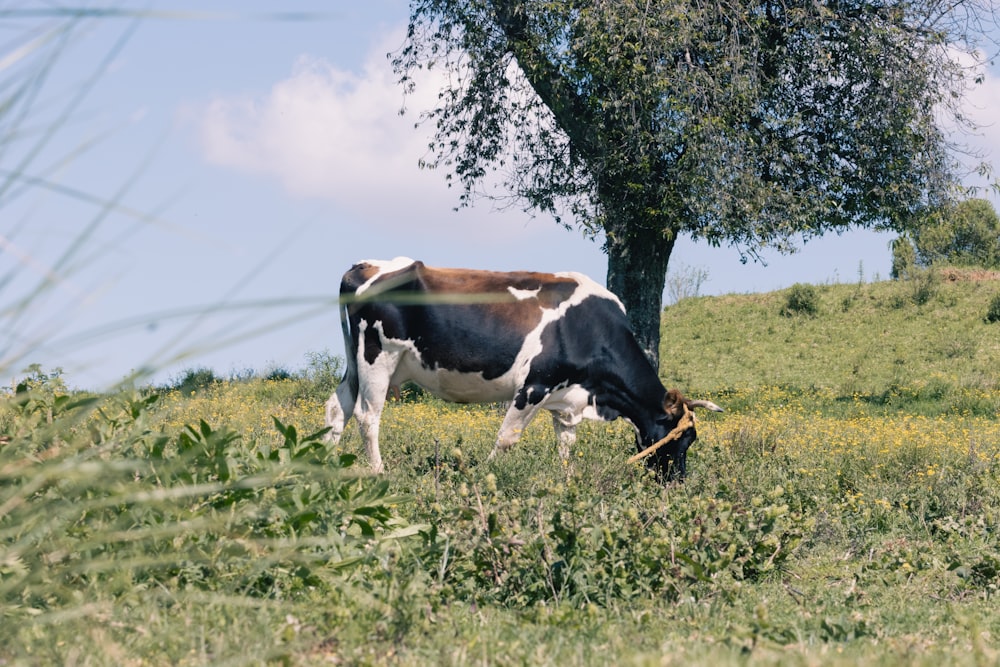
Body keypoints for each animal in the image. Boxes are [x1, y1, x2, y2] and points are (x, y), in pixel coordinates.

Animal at [324, 258, 724, 480]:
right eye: (678, 440)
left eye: (691, 441)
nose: (676, 484)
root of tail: (368, 266)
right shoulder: (534, 386)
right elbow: (507, 438)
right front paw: (485, 474)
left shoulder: (568, 397)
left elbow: (566, 444)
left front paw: (566, 480)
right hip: (378, 356)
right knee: (367, 416)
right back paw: (378, 471)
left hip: (354, 362)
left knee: (337, 407)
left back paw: (324, 461)